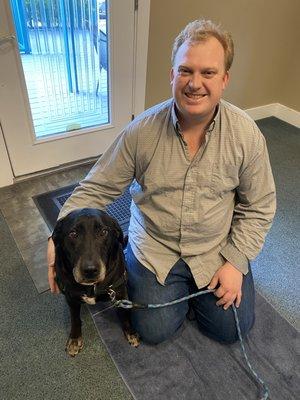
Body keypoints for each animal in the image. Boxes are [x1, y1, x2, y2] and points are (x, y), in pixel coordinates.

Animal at [52, 208, 139, 354]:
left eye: (103, 232)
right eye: (73, 234)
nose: (90, 270)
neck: (91, 287)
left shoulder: (120, 293)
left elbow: (125, 314)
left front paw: (131, 332)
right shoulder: (71, 298)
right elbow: (75, 319)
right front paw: (74, 338)